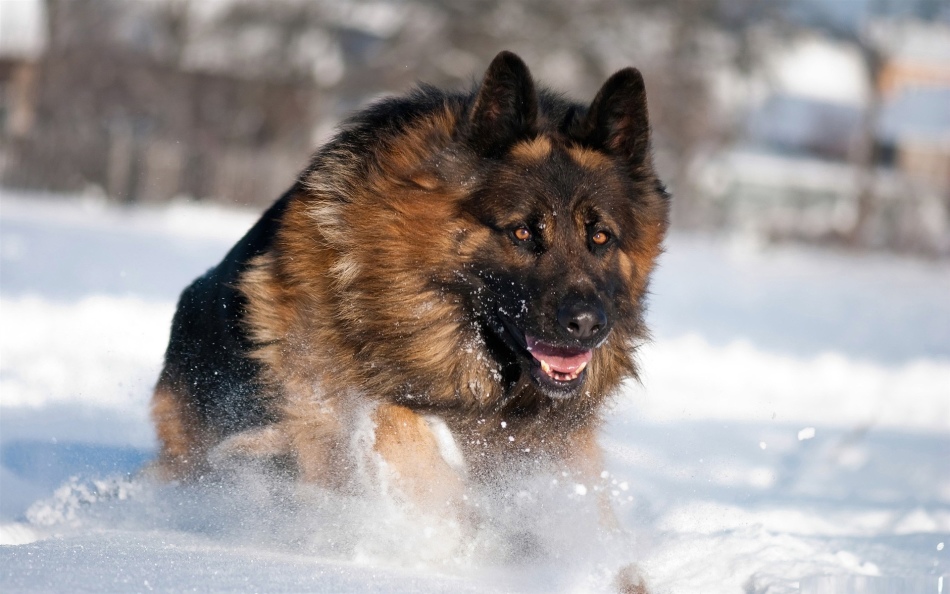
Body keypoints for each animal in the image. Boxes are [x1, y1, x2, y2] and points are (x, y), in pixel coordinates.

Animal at [151, 49, 668, 580]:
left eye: (600, 236)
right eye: (523, 233)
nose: (587, 325)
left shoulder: (557, 449)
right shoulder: (328, 405)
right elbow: (400, 430)